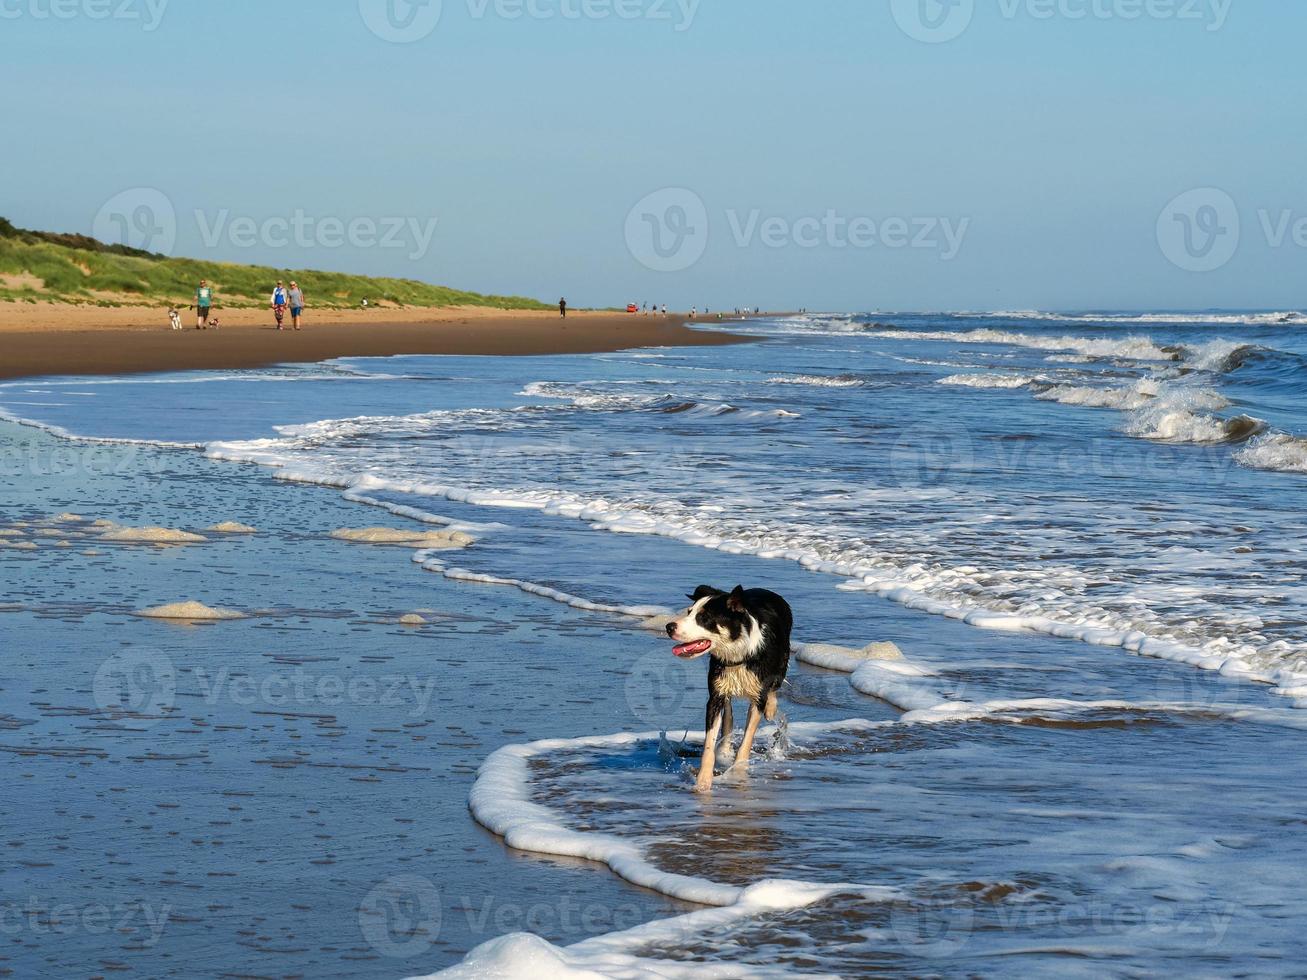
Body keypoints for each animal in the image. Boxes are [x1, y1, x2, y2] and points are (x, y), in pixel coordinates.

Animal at [669, 588, 789, 794]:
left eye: (703, 618)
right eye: (689, 612)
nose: (669, 627)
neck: (738, 654)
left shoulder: (758, 696)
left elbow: (747, 739)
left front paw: (738, 772)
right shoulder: (715, 693)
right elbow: (709, 741)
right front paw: (703, 781)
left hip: (782, 659)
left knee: (774, 687)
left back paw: (771, 708)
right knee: (728, 711)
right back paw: (724, 749)